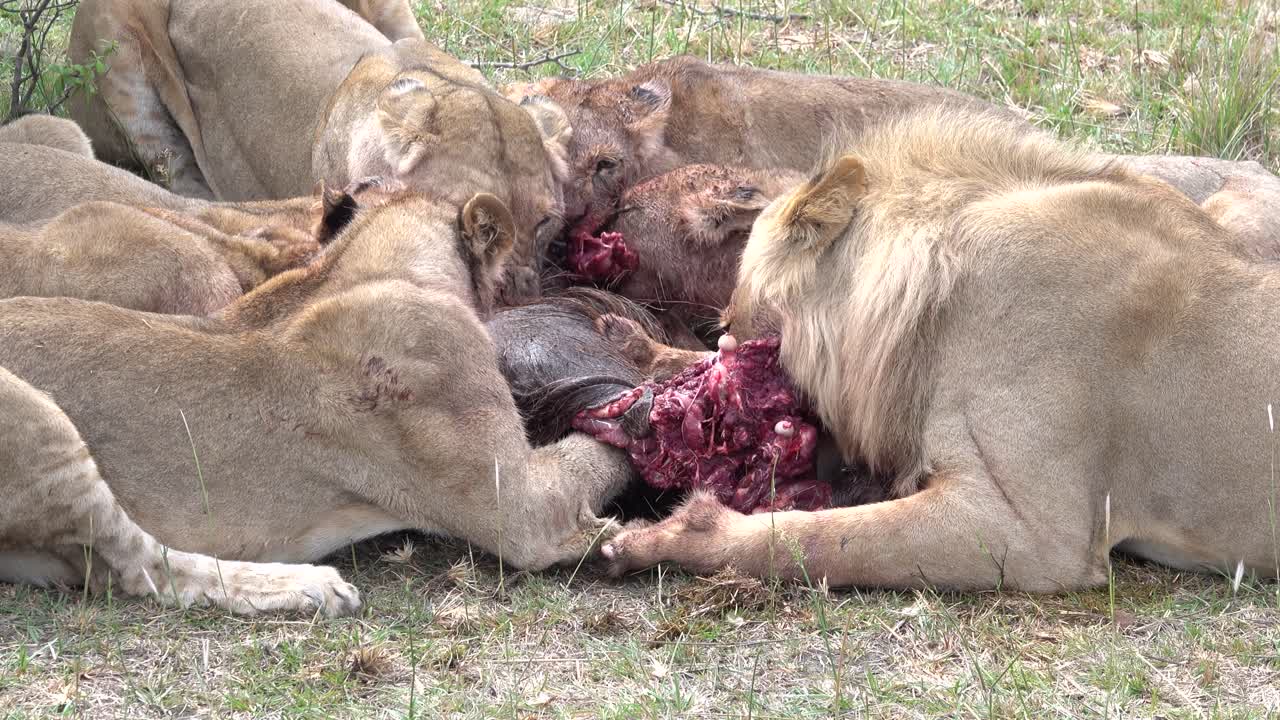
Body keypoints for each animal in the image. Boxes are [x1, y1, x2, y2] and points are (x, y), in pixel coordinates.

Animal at [0, 187, 633, 613]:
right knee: (141, 567)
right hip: (34, 414)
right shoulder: (526, 510)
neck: (359, 269)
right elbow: (597, 459)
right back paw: (309, 586)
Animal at [601, 109, 1280, 591]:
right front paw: (639, 350)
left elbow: (820, 541)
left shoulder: (1036, 536)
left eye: (735, 323)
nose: (724, 337)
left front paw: (663, 538)